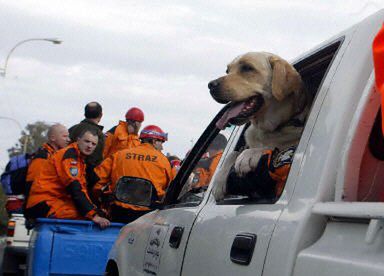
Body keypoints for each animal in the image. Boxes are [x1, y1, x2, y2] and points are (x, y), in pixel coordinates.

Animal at [208, 50, 308, 199]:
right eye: (227, 70)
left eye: (247, 68)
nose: (210, 85)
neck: (265, 128)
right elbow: (233, 153)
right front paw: (218, 182)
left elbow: (268, 147)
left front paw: (249, 155)